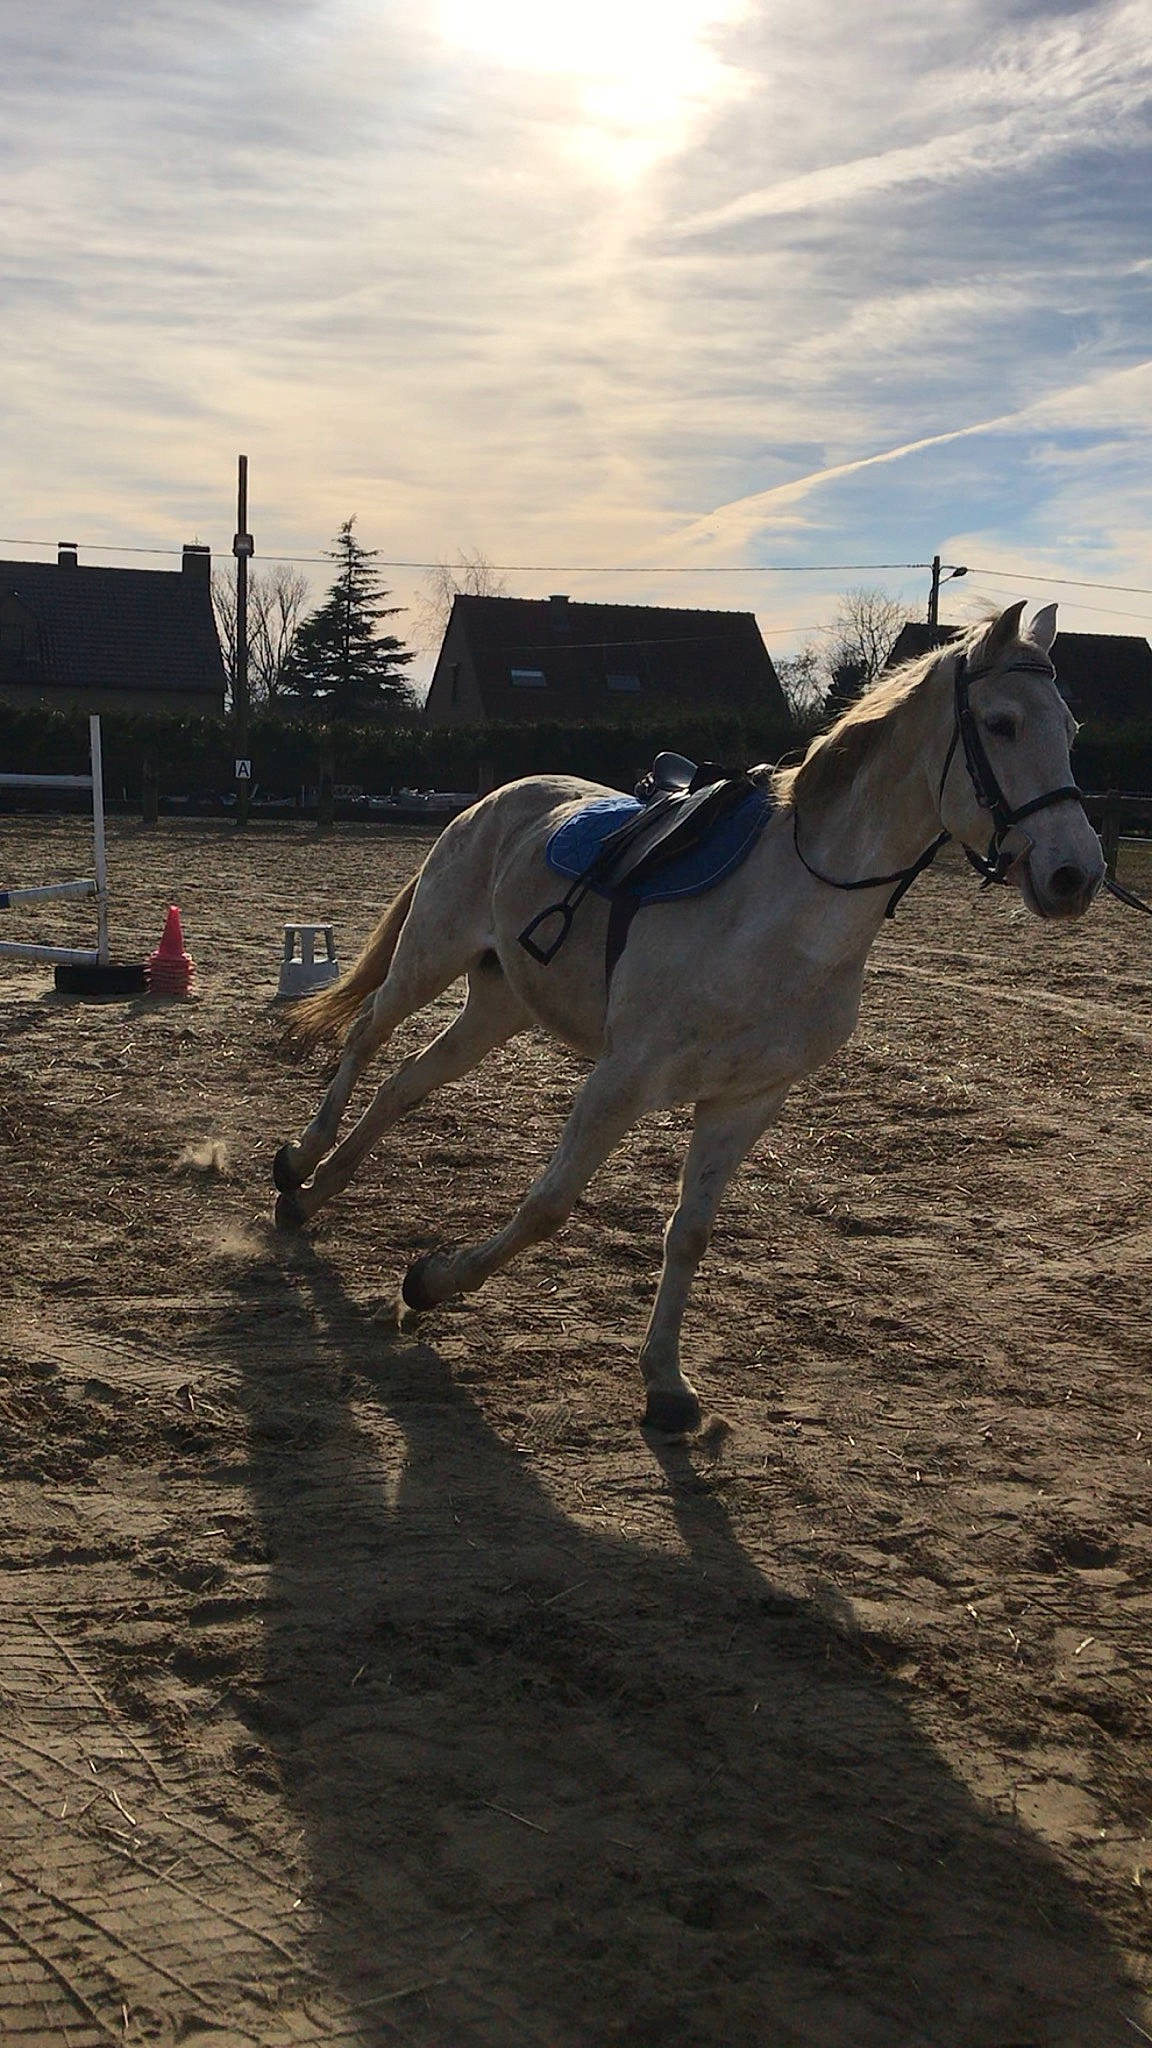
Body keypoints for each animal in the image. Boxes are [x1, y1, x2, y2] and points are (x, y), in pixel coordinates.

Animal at [272, 601, 1104, 1433]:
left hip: (497, 1004)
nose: (1077, 874)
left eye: (1071, 727)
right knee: (367, 1036)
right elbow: (547, 1207)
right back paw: (298, 1162)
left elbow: (691, 1233)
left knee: (404, 1084)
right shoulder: (621, 1079)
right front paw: (429, 1284)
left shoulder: (747, 1101)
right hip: (429, 957)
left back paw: (311, 1196)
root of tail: (498, 798)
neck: (786, 917)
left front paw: (665, 1382)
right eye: (1000, 724)